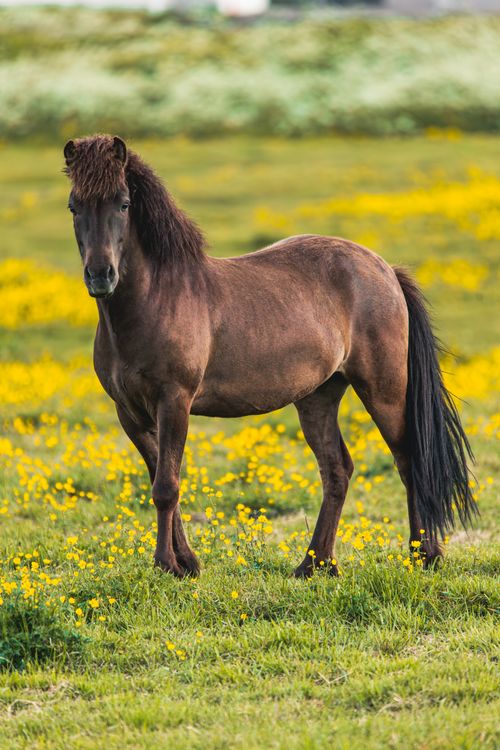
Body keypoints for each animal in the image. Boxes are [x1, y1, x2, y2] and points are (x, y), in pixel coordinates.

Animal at [63, 135, 476, 578]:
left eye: (123, 204)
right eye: (74, 206)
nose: (100, 276)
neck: (156, 299)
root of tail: (385, 270)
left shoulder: (174, 401)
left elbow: (166, 487)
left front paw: (167, 565)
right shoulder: (130, 413)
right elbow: (161, 480)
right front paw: (186, 562)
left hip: (383, 389)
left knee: (408, 459)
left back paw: (423, 555)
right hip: (318, 396)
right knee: (337, 470)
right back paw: (315, 564)